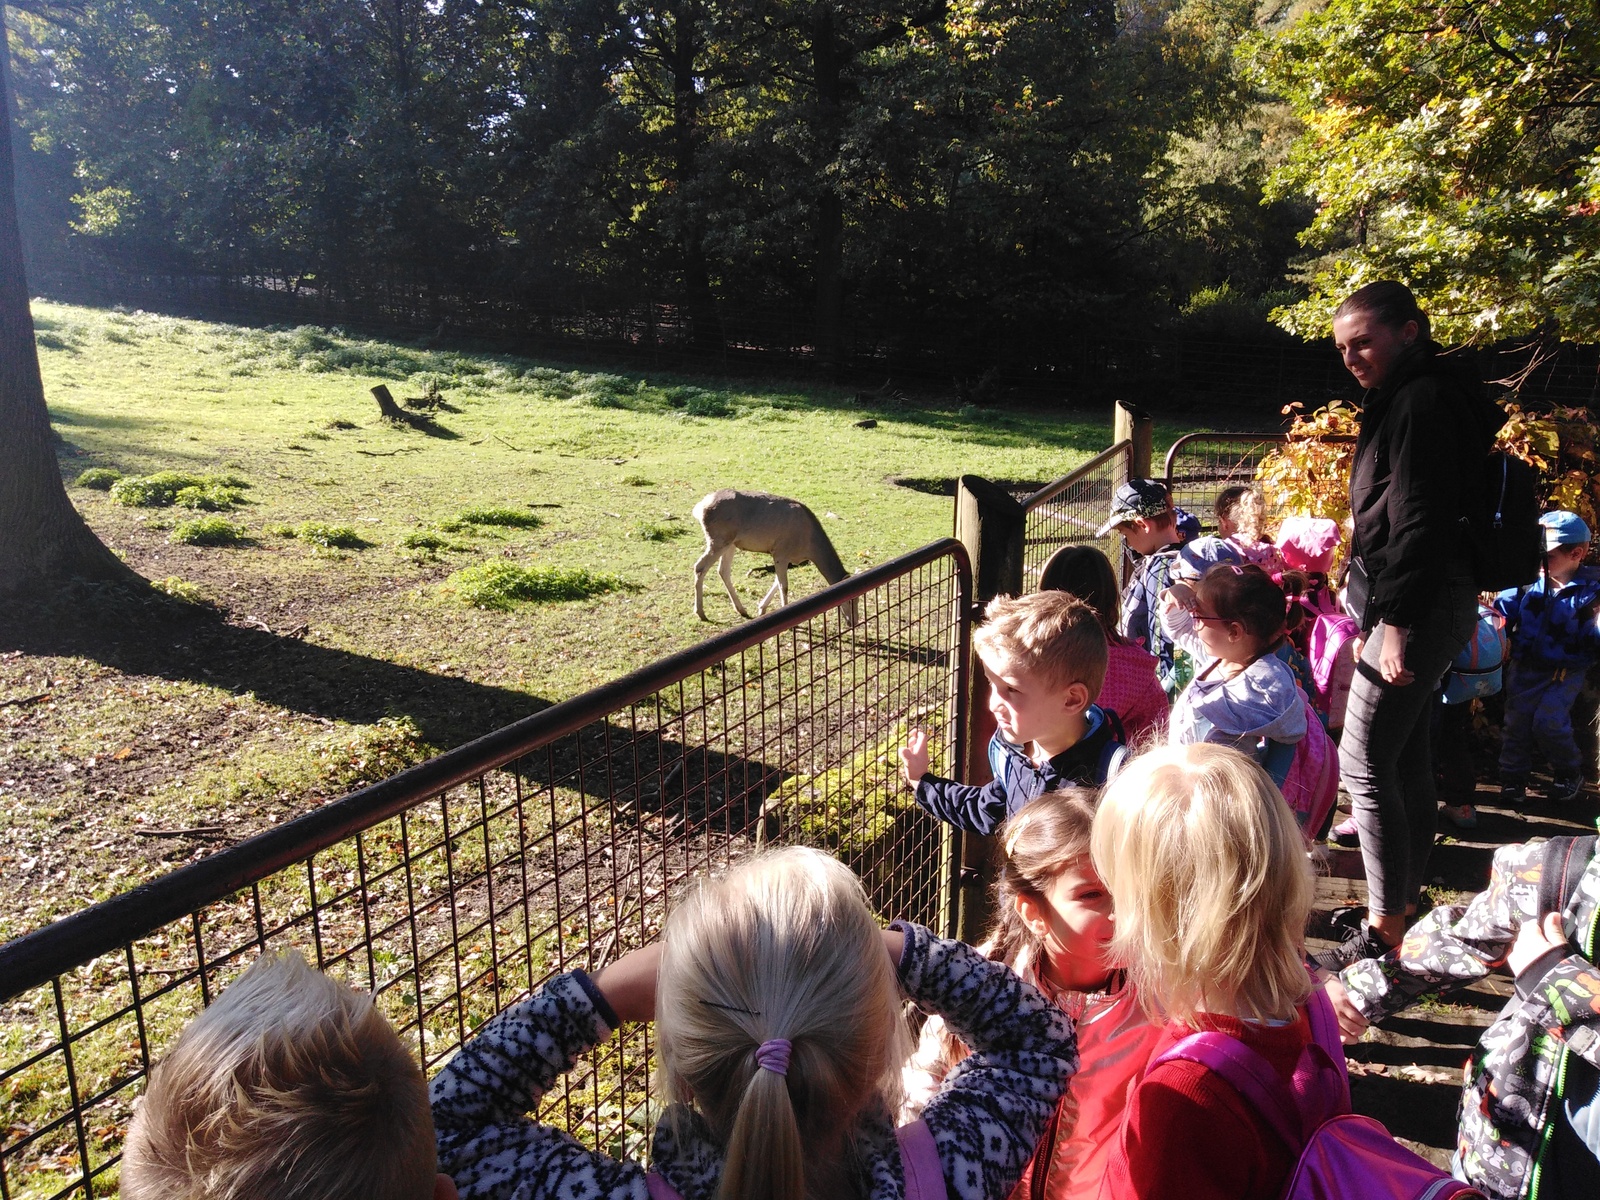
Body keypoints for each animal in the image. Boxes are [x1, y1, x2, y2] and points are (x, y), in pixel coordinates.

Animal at [692, 490, 857, 624]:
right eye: (850, 600)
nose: (853, 622)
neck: (809, 545)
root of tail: (699, 508)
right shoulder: (780, 552)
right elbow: (783, 585)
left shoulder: (785, 557)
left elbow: (777, 582)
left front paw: (761, 608)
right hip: (718, 539)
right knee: (700, 566)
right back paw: (701, 613)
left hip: (730, 543)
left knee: (723, 570)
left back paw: (741, 610)